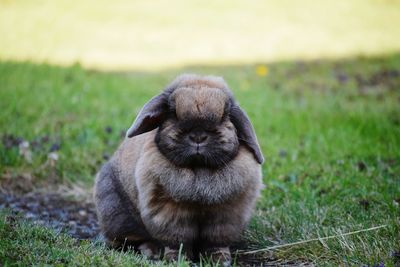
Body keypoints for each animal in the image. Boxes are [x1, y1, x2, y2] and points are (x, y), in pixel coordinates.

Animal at [93, 74, 262, 266]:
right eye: (173, 113)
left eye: (225, 115)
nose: (198, 136)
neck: (198, 169)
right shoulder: (169, 213)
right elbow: (178, 240)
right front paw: (177, 259)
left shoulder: (227, 214)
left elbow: (216, 242)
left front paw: (220, 260)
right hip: (117, 213)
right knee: (135, 239)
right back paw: (151, 251)